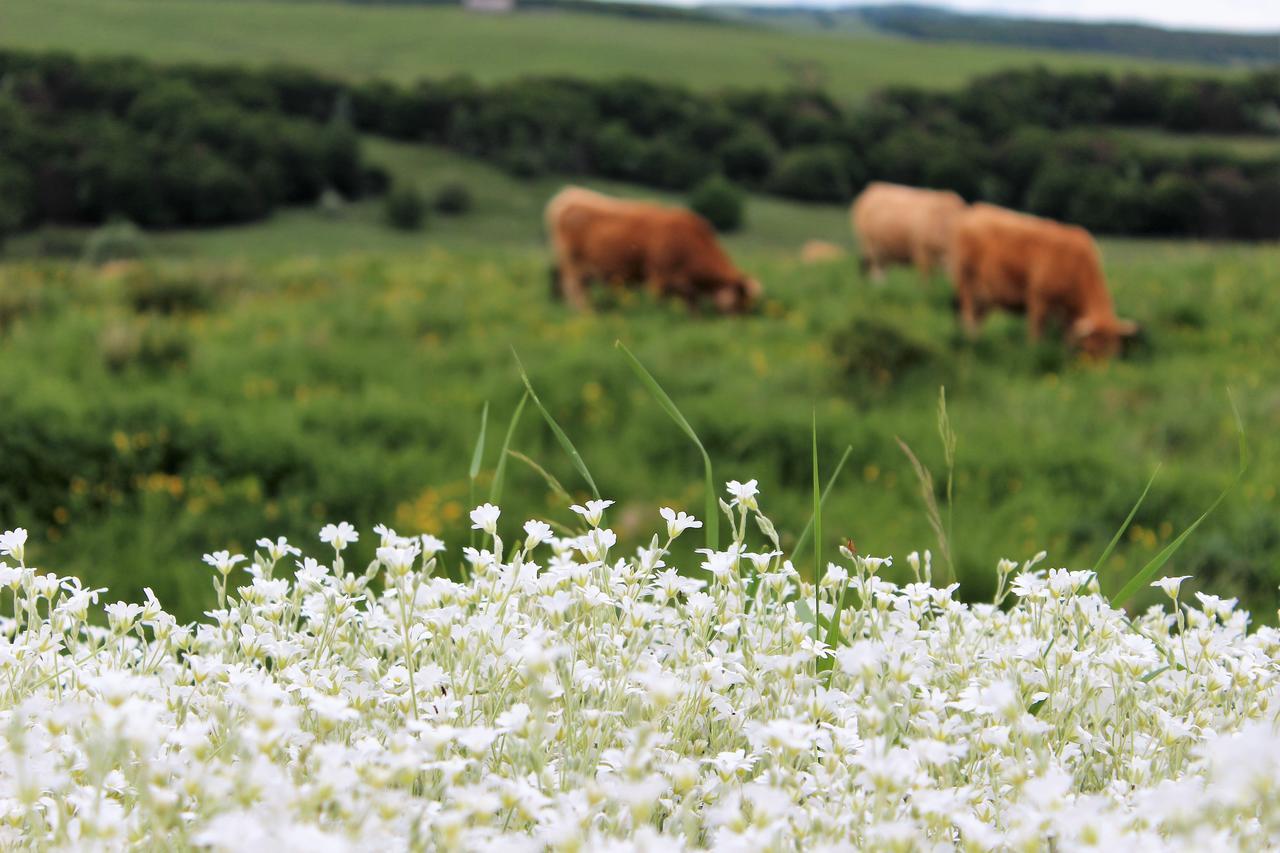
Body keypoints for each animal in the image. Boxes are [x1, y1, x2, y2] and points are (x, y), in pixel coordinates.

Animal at [542, 185, 757, 312]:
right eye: (739, 306)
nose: (736, 327)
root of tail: (567, 195)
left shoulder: (684, 286)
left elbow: (691, 305)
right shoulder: (657, 276)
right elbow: (658, 303)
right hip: (573, 263)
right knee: (573, 288)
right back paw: (586, 313)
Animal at [942, 202, 1141, 356]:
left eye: (1113, 353)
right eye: (1090, 351)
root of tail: (974, 210)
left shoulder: (1067, 315)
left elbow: (1067, 337)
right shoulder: (1038, 300)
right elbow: (1036, 334)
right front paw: (1034, 352)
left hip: (985, 294)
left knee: (977, 317)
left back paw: (976, 339)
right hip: (966, 281)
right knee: (967, 313)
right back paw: (970, 340)